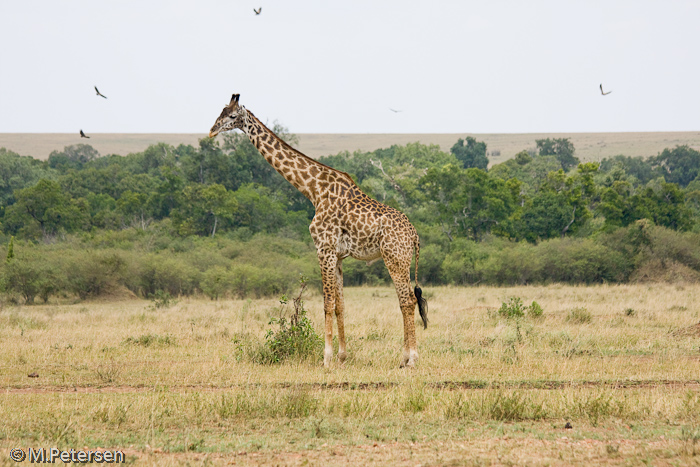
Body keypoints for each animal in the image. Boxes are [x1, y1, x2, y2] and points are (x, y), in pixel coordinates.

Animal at [209, 93, 426, 368]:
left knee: (407, 300)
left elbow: (326, 303)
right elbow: (340, 305)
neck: (313, 189)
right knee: (406, 300)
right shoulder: (339, 255)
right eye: (220, 111)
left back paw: (411, 359)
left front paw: (326, 358)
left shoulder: (324, 249)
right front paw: (342, 356)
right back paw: (404, 358)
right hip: (401, 259)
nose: (212, 130)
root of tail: (415, 235)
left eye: (232, 115)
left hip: (395, 257)